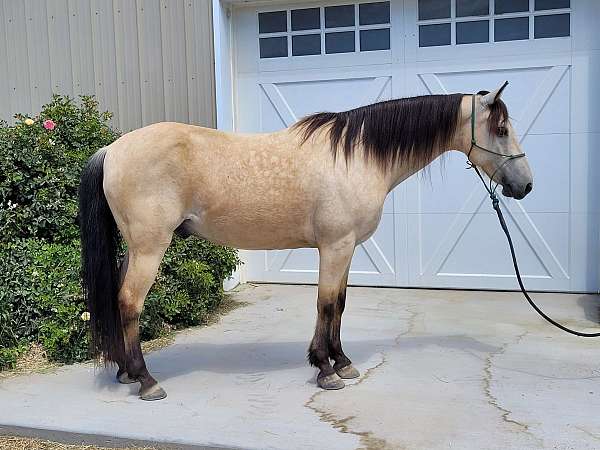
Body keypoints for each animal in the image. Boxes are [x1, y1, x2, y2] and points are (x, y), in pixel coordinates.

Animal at [77, 81, 532, 400]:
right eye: (501, 129)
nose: (525, 185)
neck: (357, 156)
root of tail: (112, 149)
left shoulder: (346, 249)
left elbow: (340, 304)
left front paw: (342, 362)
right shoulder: (335, 246)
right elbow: (326, 304)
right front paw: (326, 370)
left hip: (135, 248)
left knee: (118, 298)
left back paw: (124, 371)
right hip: (151, 248)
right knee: (130, 302)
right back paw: (146, 380)